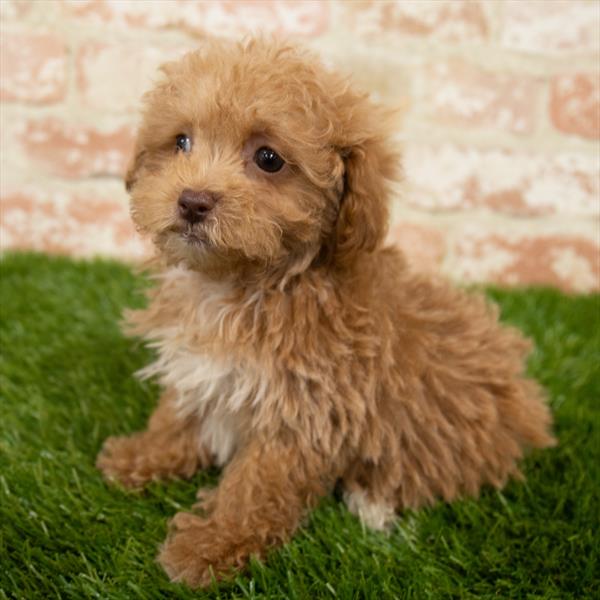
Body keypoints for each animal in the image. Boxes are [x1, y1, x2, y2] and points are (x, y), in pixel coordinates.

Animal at [97, 36, 552, 584]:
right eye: (181, 142)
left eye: (268, 158)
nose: (192, 201)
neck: (243, 283)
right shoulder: (202, 367)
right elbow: (179, 413)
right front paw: (142, 454)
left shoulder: (305, 406)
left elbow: (257, 484)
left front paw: (212, 544)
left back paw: (372, 504)